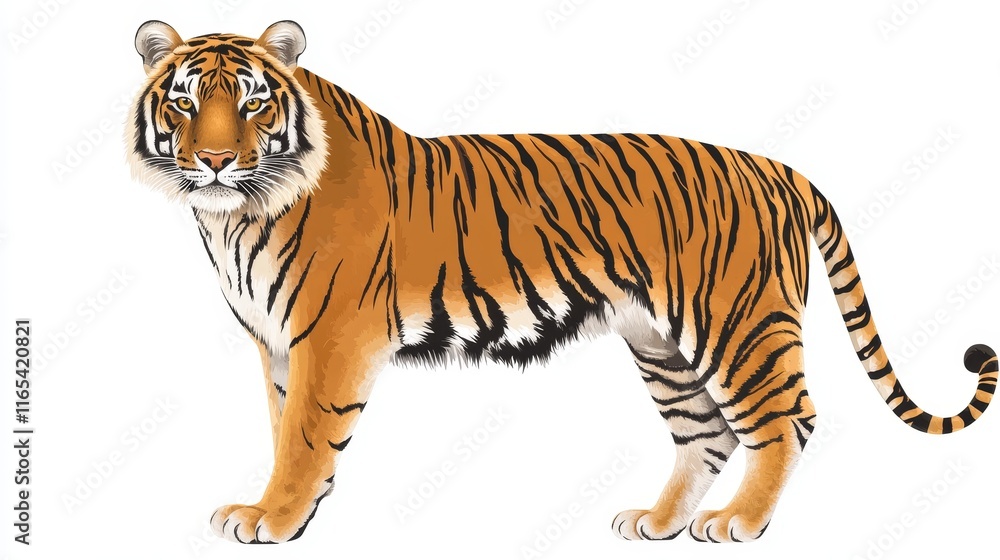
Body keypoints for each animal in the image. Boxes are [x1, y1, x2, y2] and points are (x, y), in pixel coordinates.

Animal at [126, 20, 997, 544]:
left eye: (252, 102)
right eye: (183, 101)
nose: (214, 160)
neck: (236, 216)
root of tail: (778, 168)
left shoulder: (330, 336)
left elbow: (305, 434)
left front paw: (273, 519)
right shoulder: (276, 343)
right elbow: (282, 430)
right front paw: (279, 510)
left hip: (739, 324)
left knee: (787, 421)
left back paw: (738, 524)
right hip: (662, 344)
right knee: (706, 434)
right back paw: (658, 522)